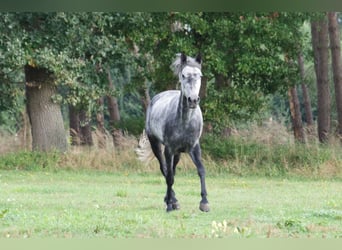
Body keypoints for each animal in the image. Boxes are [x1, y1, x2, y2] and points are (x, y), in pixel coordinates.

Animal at [142, 52, 207, 213]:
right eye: (183, 75)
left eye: (200, 75)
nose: (193, 100)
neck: (185, 121)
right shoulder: (169, 149)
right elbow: (169, 176)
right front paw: (170, 205)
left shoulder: (194, 147)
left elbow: (201, 170)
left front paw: (204, 202)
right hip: (156, 144)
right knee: (165, 170)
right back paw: (172, 200)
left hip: (178, 153)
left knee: (172, 170)